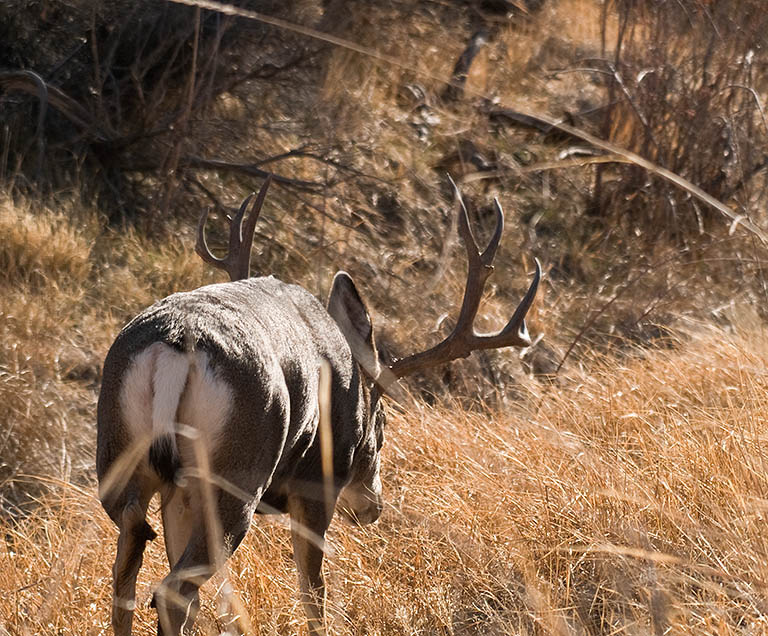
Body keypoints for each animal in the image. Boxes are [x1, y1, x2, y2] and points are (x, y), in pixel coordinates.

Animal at [96, 175, 540, 636]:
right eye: (381, 429)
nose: (372, 508)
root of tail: (177, 341)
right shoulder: (318, 481)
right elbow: (314, 590)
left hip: (121, 457)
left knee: (130, 566)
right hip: (237, 472)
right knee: (173, 590)